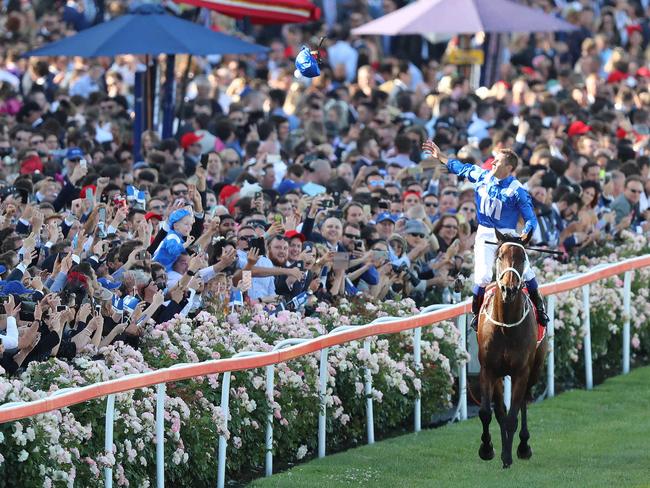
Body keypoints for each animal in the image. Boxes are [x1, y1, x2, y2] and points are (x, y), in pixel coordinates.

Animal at [476, 231, 548, 470]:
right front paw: (487, 449)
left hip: (535, 368)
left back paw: (523, 446)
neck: (506, 326)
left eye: (523, 257)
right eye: (500, 256)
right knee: (500, 411)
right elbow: (487, 413)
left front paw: (508, 455)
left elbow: (512, 417)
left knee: (524, 401)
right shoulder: (488, 370)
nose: (509, 289)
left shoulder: (521, 372)